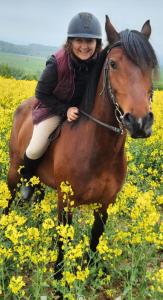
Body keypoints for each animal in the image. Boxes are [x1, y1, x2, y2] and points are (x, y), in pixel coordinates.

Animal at [7, 15, 158, 258]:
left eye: (151, 65)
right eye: (113, 64)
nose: (140, 123)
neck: (99, 151)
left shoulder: (105, 205)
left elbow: (94, 244)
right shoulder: (65, 201)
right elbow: (62, 245)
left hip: (39, 180)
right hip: (14, 171)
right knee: (8, 200)